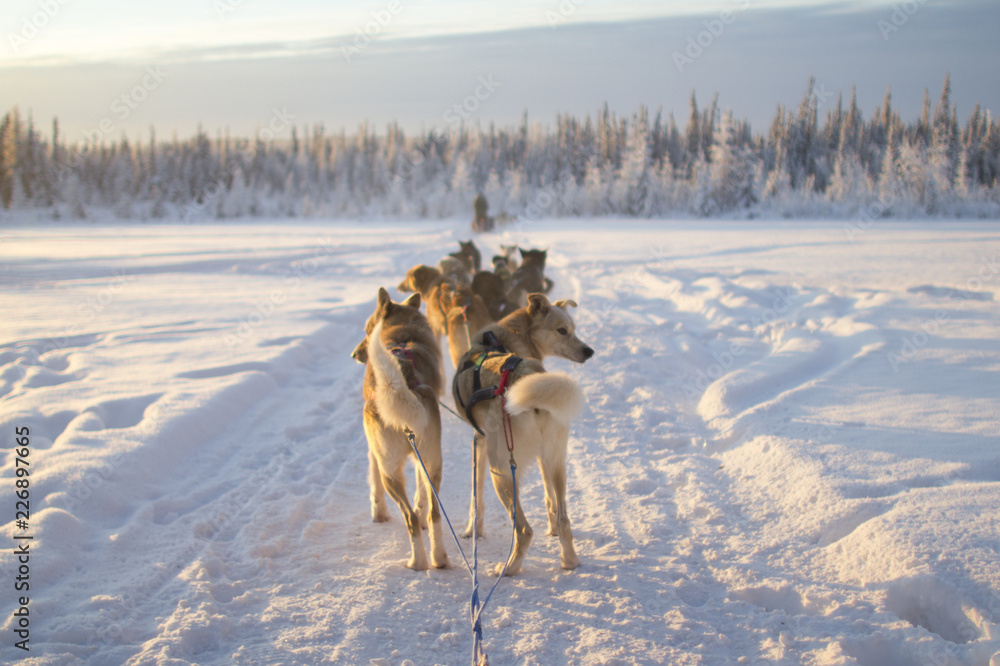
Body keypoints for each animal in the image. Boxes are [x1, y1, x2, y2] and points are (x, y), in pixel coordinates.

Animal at [350, 288, 448, 568]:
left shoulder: (373, 453)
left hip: (391, 472)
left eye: (367, 330)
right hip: (433, 462)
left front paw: (378, 513)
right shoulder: (421, 461)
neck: (403, 335)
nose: (354, 354)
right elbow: (421, 498)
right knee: (433, 514)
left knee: (410, 519)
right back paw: (439, 558)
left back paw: (418, 563)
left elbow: (373, 483)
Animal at [454, 294, 592, 572]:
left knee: (524, 530)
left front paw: (472, 532)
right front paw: (552, 529)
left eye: (572, 329)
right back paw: (569, 561)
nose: (589, 351)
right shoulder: (543, 458)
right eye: (563, 330)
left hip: (501, 470)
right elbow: (551, 501)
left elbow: (477, 498)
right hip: (556, 461)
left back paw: (509, 568)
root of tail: (528, 374)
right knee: (564, 519)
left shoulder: (478, 442)